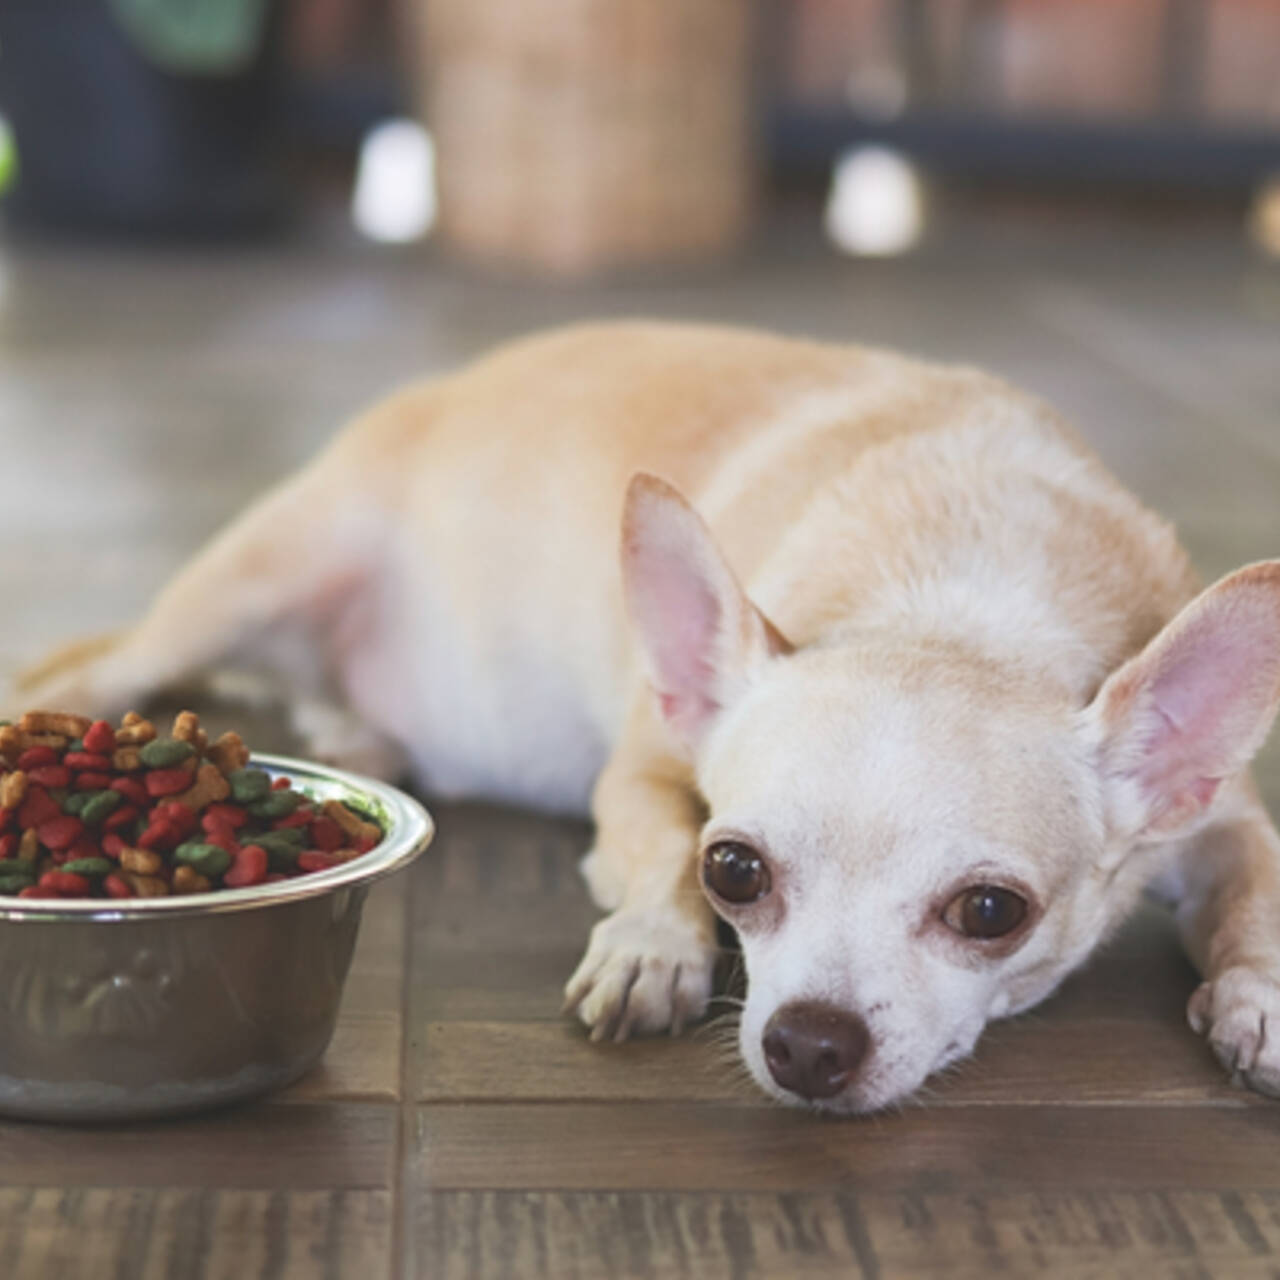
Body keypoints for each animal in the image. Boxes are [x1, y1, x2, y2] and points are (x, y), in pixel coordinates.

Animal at [15, 322, 1280, 1111]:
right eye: (735, 869)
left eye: (988, 910)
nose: (806, 1040)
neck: (960, 603)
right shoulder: (636, 772)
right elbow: (656, 841)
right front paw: (652, 947)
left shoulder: (1224, 821)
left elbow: (1253, 896)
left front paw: (1258, 1003)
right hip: (245, 585)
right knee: (100, 663)